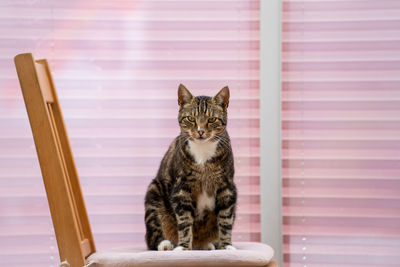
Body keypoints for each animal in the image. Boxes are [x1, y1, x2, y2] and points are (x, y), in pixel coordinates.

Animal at [145, 85, 236, 251]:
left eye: (212, 119)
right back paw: (165, 245)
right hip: (154, 193)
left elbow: (226, 220)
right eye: (191, 118)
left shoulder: (227, 187)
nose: (200, 131)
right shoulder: (182, 187)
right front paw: (183, 248)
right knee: (153, 230)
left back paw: (207, 245)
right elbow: (185, 221)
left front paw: (226, 246)